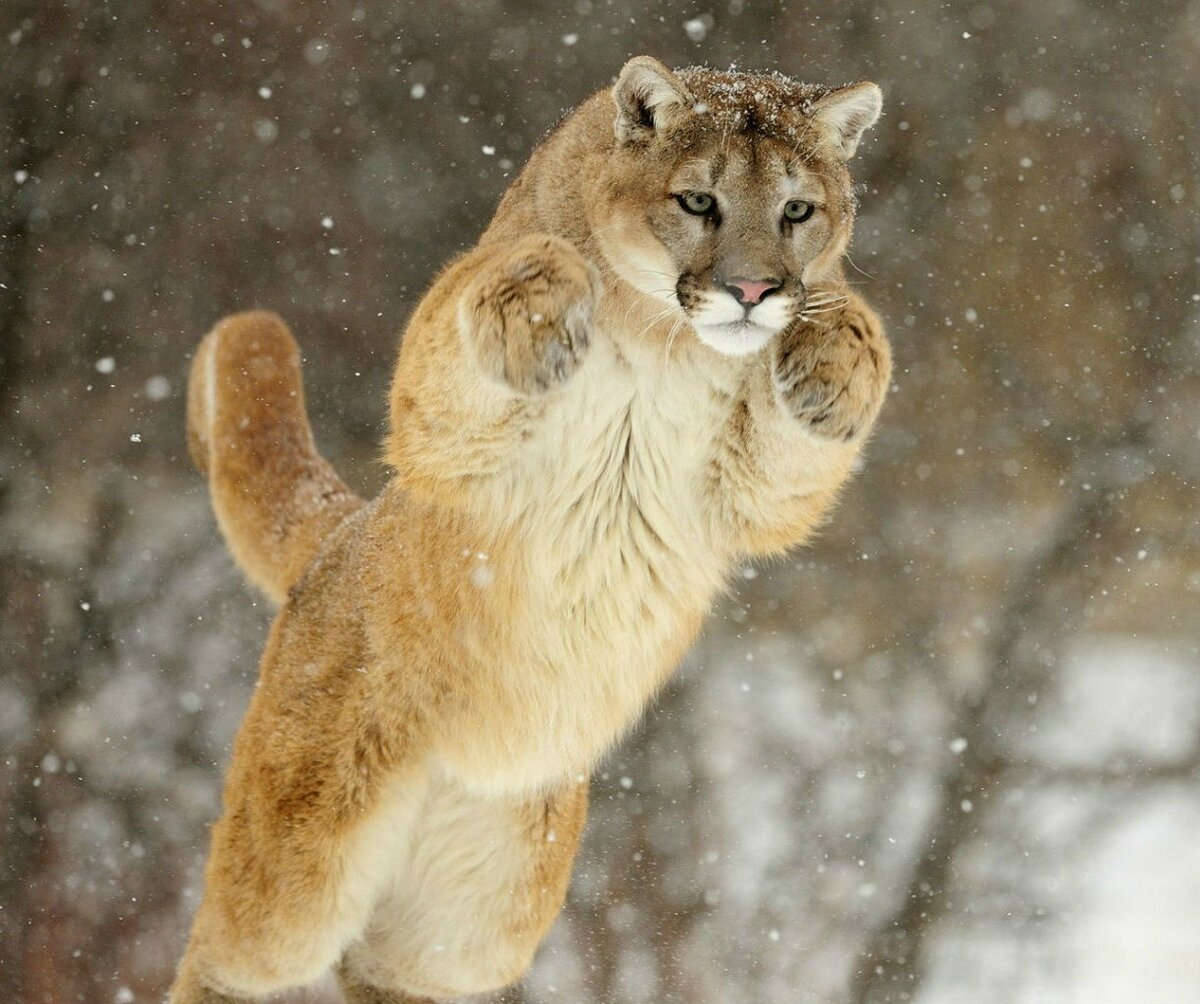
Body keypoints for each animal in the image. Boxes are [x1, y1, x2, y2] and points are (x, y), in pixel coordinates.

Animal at [171, 56, 890, 1003]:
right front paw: (543, 297)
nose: (752, 290)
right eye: (699, 201)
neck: (664, 337)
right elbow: (482, 294)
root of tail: (335, 538)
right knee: (231, 954)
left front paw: (831, 360)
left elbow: (837, 368)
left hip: (463, 933)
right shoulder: (443, 431)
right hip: (296, 865)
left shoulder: (745, 494)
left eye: (798, 211)